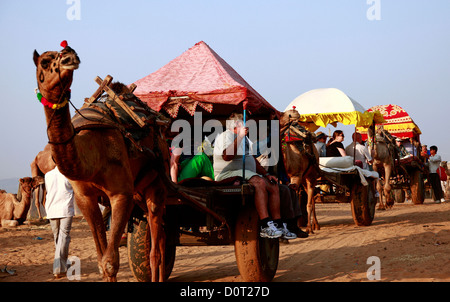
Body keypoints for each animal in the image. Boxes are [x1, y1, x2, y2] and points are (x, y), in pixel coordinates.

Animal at [33, 41, 170, 282]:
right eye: (45, 62)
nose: (69, 56)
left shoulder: (121, 194)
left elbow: (110, 261)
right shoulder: (84, 198)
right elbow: (100, 260)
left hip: (157, 183)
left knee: (156, 245)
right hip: (139, 192)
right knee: (160, 237)